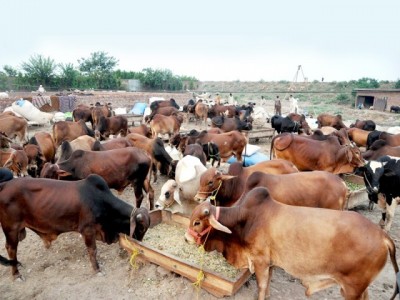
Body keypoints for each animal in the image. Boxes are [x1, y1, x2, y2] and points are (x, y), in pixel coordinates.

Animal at [0, 169, 150, 278]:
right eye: (141, 228)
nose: (140, 243)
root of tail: (4, 185)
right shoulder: (87, 230)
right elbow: (93, 250)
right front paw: (97, 269)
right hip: (11, 229)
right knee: (11, 249)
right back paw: (16, 274)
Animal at [185, 188, 400, 300]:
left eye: (197, 222)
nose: (186, 239)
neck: (246, 219)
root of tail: (383, 236)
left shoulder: (260, 262)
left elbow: (261, 286)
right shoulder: (271, 263)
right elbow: (267, 285)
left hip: (352, 289)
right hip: (359, 288)